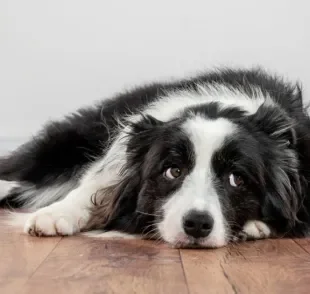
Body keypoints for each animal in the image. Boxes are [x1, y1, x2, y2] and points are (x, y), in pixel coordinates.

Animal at [0, 67, 310, 248]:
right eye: (172, 171)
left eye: (237, 178)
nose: (197, 224)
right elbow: (93, 186)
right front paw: (54, 215)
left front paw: (256, 226)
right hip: (65, 146)